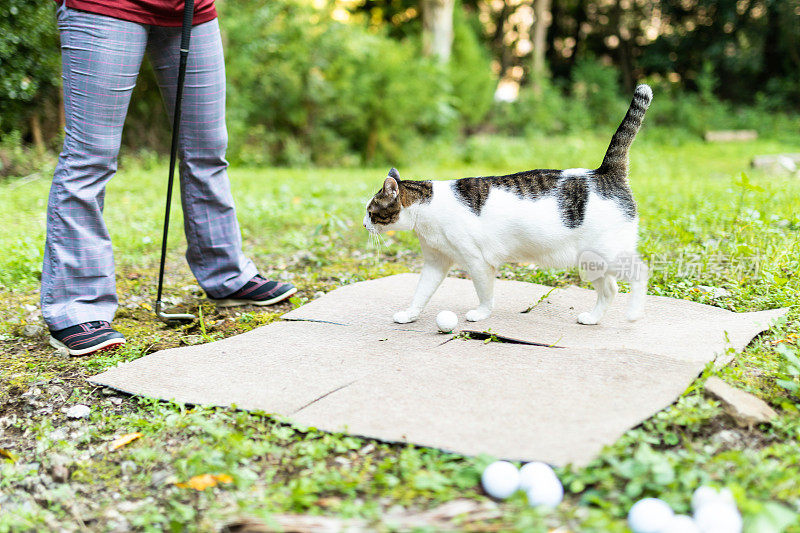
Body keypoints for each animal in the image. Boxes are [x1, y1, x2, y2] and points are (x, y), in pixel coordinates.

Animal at [366, 83, 652, 324]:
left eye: (370, 211)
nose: (364, 224)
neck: (427, 207)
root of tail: (604, 172)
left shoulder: (478, 261)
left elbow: (484, 292)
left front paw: (481, 314)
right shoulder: (436, 263)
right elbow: (421, 293)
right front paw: (409, 315)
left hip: (608, 253)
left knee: (641, 272)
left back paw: (635, 314)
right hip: (591, 261)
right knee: (610, 289)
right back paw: (593, 318)